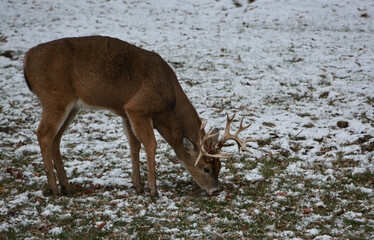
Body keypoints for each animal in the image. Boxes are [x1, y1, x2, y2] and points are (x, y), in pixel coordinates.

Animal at [22, 36, 254, 197]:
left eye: (219, 166)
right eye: (205, 167)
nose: (216, 191)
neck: (169, 102)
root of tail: (26, 60)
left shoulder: (125, 112)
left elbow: (134, 145)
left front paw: (138, 185)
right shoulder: (137, 108)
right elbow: (150, 145)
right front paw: (153, 190)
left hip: (72, 107)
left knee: (56, 138)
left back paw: (66, 185)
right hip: (56, 97)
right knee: (43, 134)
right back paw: (55, 189)